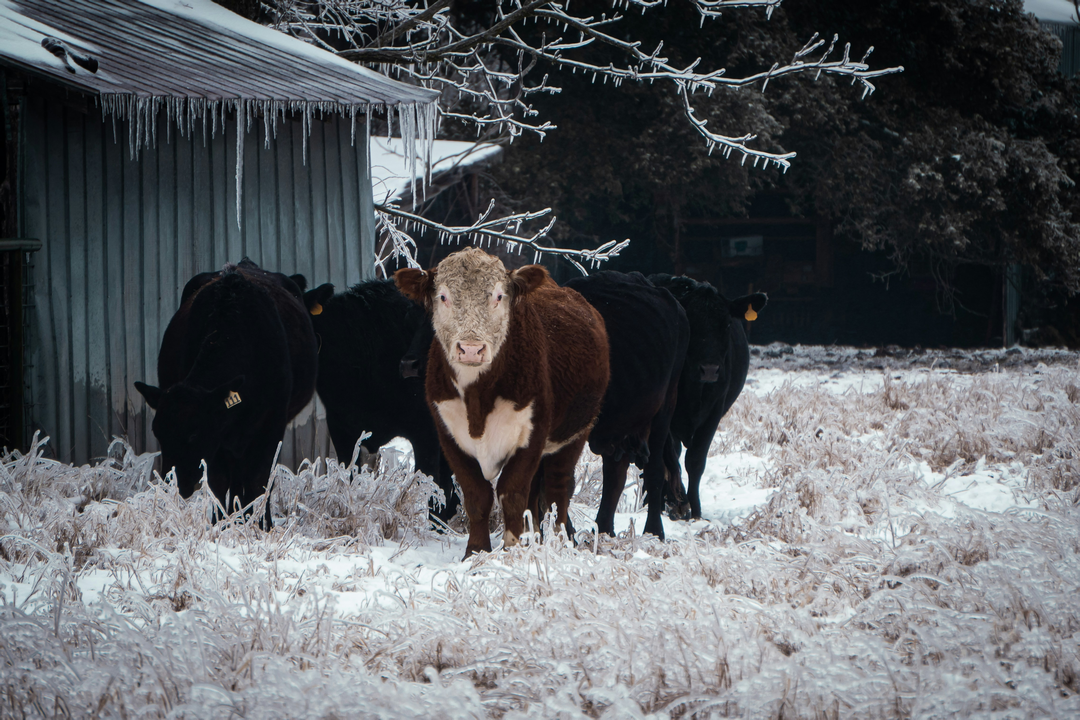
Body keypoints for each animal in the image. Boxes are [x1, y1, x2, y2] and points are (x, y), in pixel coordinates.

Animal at [134, 259, 318, 529]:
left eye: (193, 434)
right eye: (157, 432)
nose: (175, 482)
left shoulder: (271, 424)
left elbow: (261, 479)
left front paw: (261, 524)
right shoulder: (218, 436)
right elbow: (219, 481)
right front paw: (219, 523)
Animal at [395, 247, 610, 558]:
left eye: (498, 296)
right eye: (443, 296)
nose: (471, 349)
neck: (477, 402)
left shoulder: (531, 434)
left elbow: (512, 493)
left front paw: (512, 549)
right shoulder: (449, 436)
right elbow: (477, 495)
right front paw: (476, 552)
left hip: (576, 433)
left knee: (558, 489)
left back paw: (559, 541)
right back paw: (535, 538)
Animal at [647, 274, 767, 521]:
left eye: (727, 324)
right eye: (690, 323)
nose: (710, 369)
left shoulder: (714, 411)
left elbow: (695, 460)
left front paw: (695, 510)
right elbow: (668, 457)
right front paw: (675, 503)